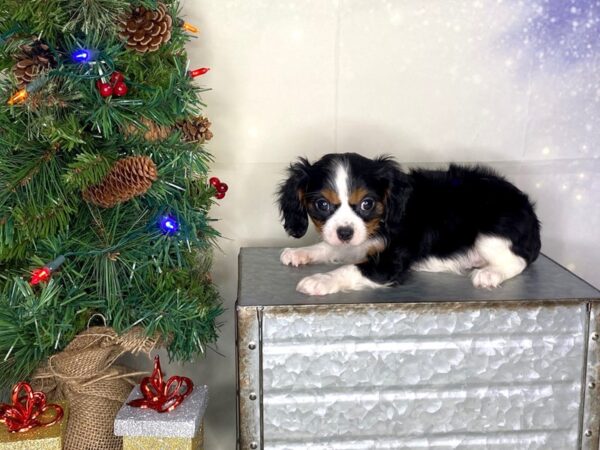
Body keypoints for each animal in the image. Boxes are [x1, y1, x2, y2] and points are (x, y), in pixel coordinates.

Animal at [278, 153, 540, 298]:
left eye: (367, 203)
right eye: (321, 204)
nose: (345, 233)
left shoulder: (388, 262)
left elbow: (349, 269)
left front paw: (320, 280)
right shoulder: (351, 241)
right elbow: (328, 246)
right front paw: (301, 253)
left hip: (490, 233)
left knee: (518, 261)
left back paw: (489, 274)